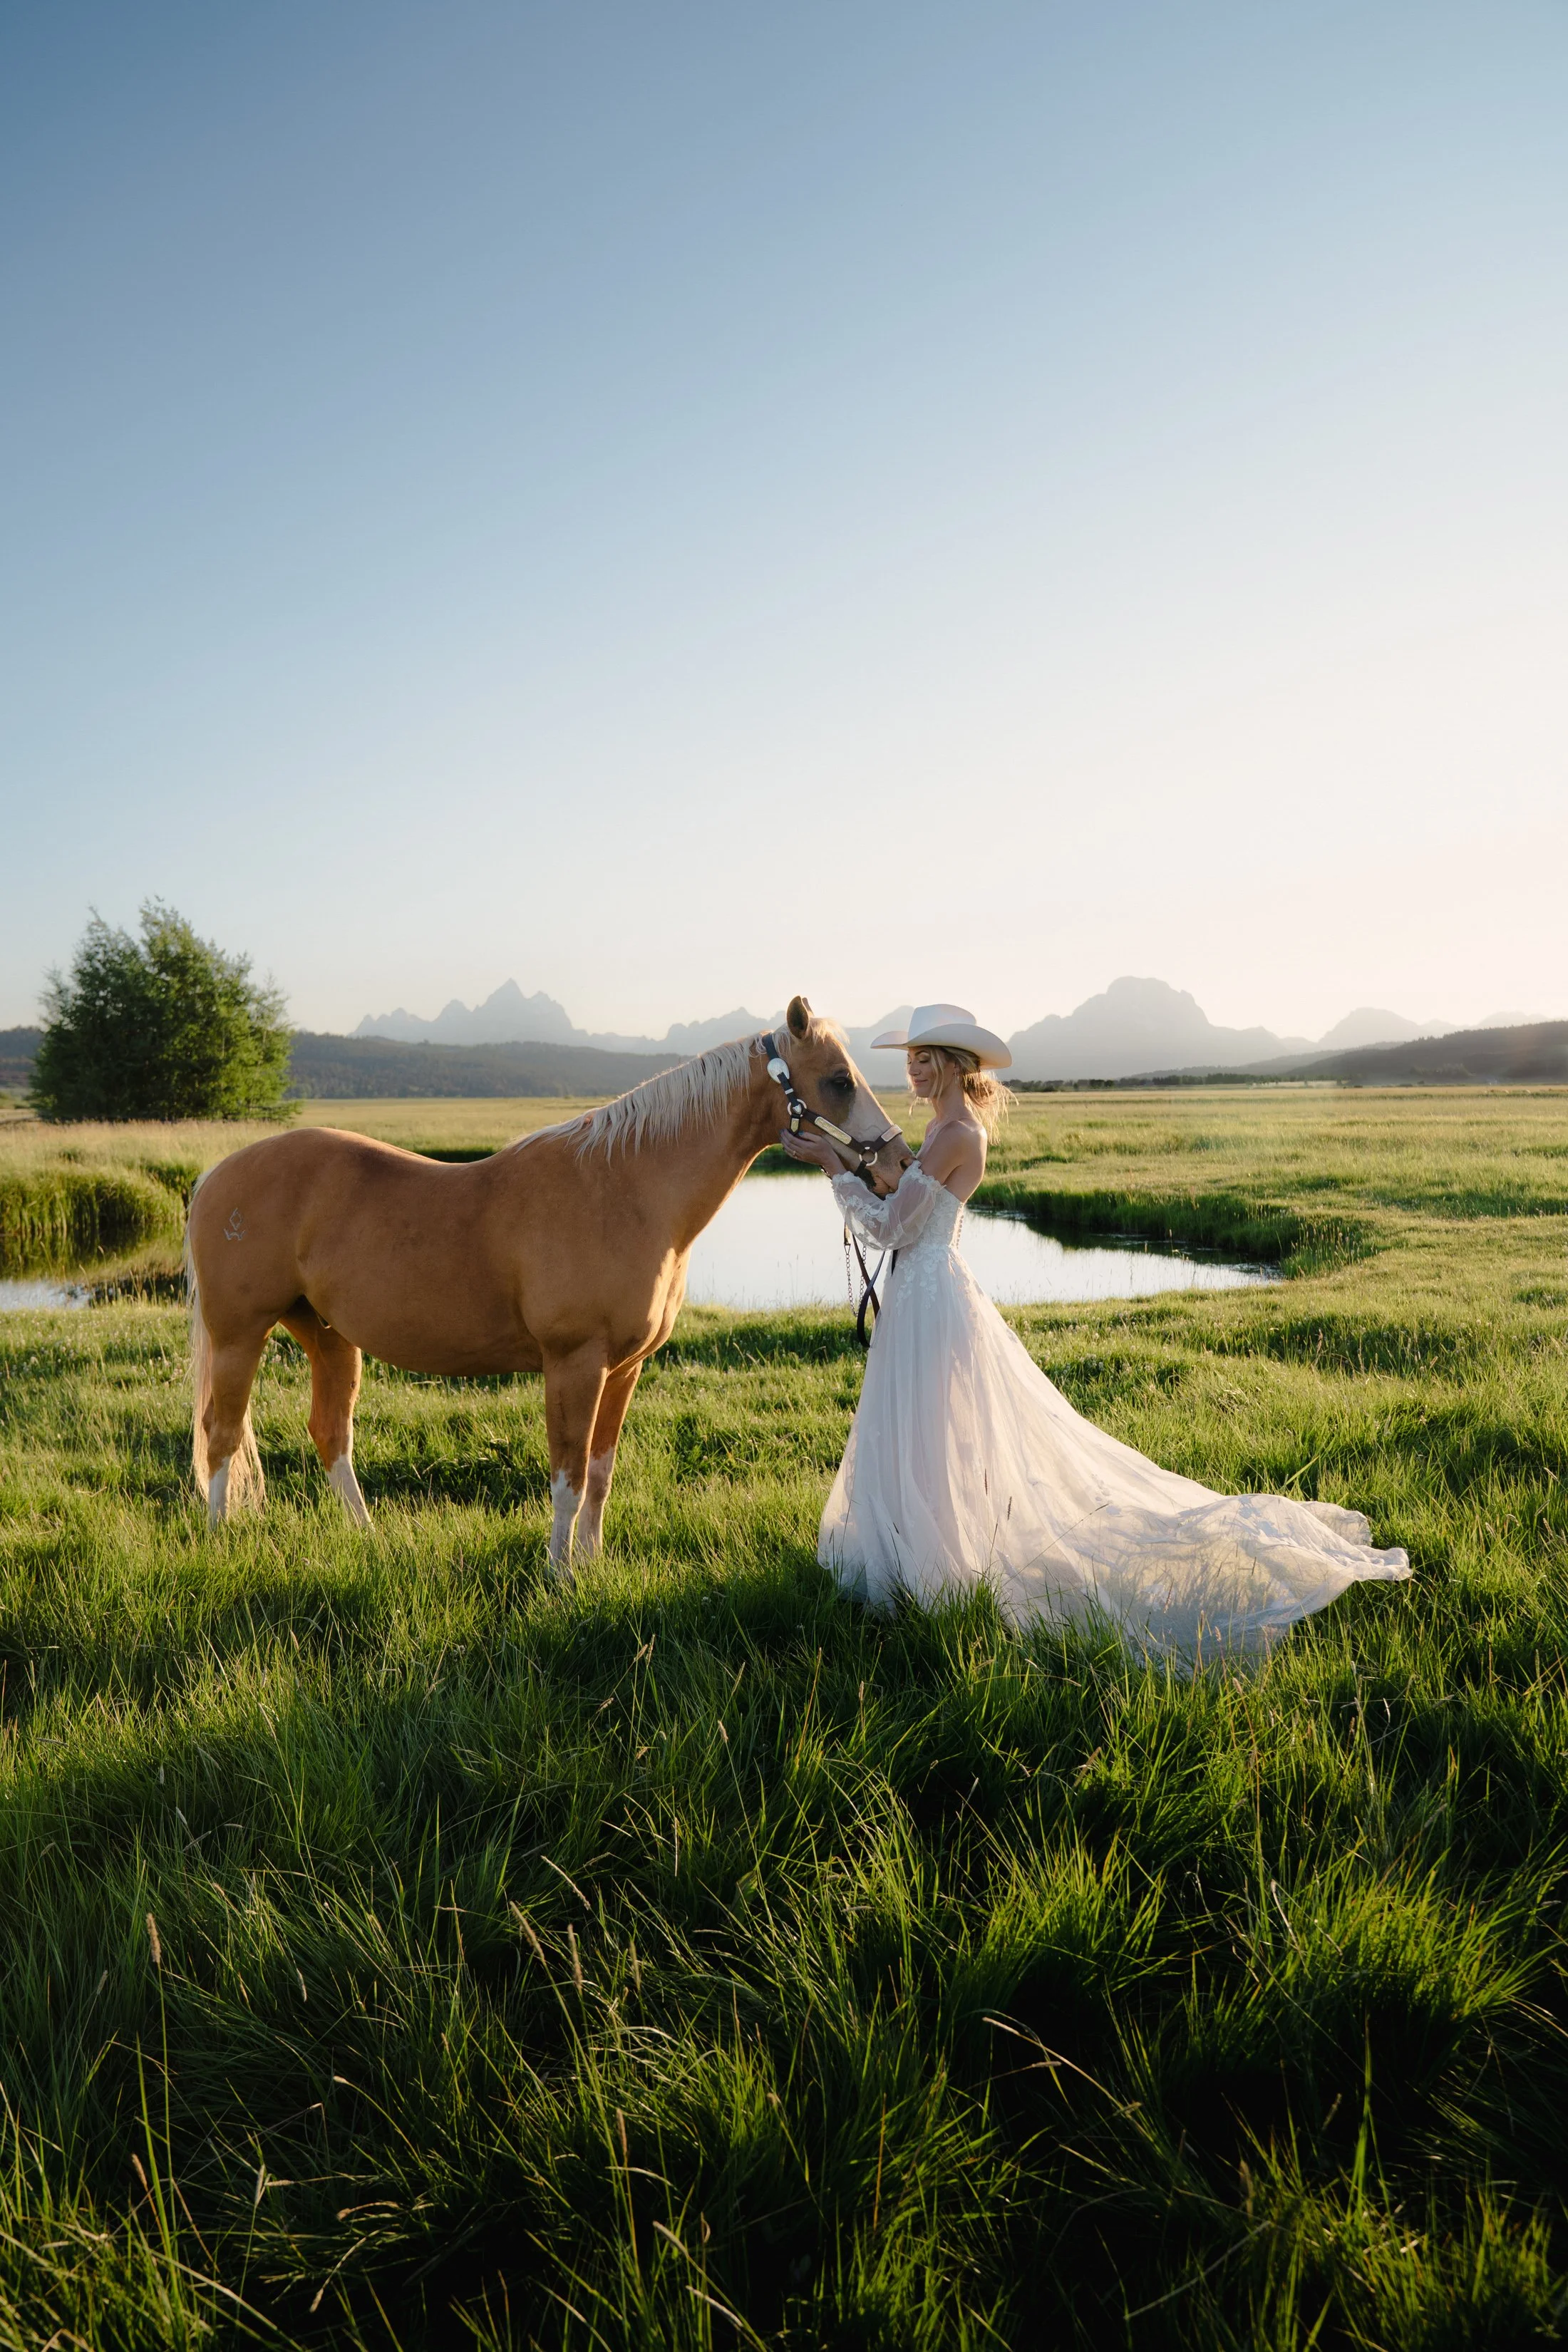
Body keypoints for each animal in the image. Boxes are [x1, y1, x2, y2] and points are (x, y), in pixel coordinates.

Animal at [185, 997, 907, 1570]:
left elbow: (600, 1472)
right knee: (222, 1433)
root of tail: (217, 1174)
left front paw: (590, 1563)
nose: (899, 1163)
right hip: (240, 1336)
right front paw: (560, 1575)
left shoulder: (624, 1369)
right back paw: (221, 1541)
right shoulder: (573, 1364)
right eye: (839, 1080)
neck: (626, 1190)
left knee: (330, 1435)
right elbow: (567, 1475)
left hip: (329, 1336)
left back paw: (369, 1539)